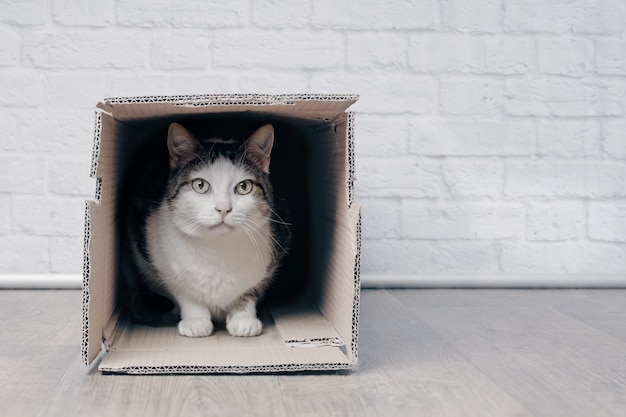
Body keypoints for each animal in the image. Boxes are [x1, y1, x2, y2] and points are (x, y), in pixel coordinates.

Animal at [118, 122, 288, 336]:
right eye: (200, 185)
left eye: (244, 187)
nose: (223, 208)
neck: (217, 249)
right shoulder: (163, 266)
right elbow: (186, 294)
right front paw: (196, 320)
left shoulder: (272, 258)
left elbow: (250, 291)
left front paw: (243, 319)